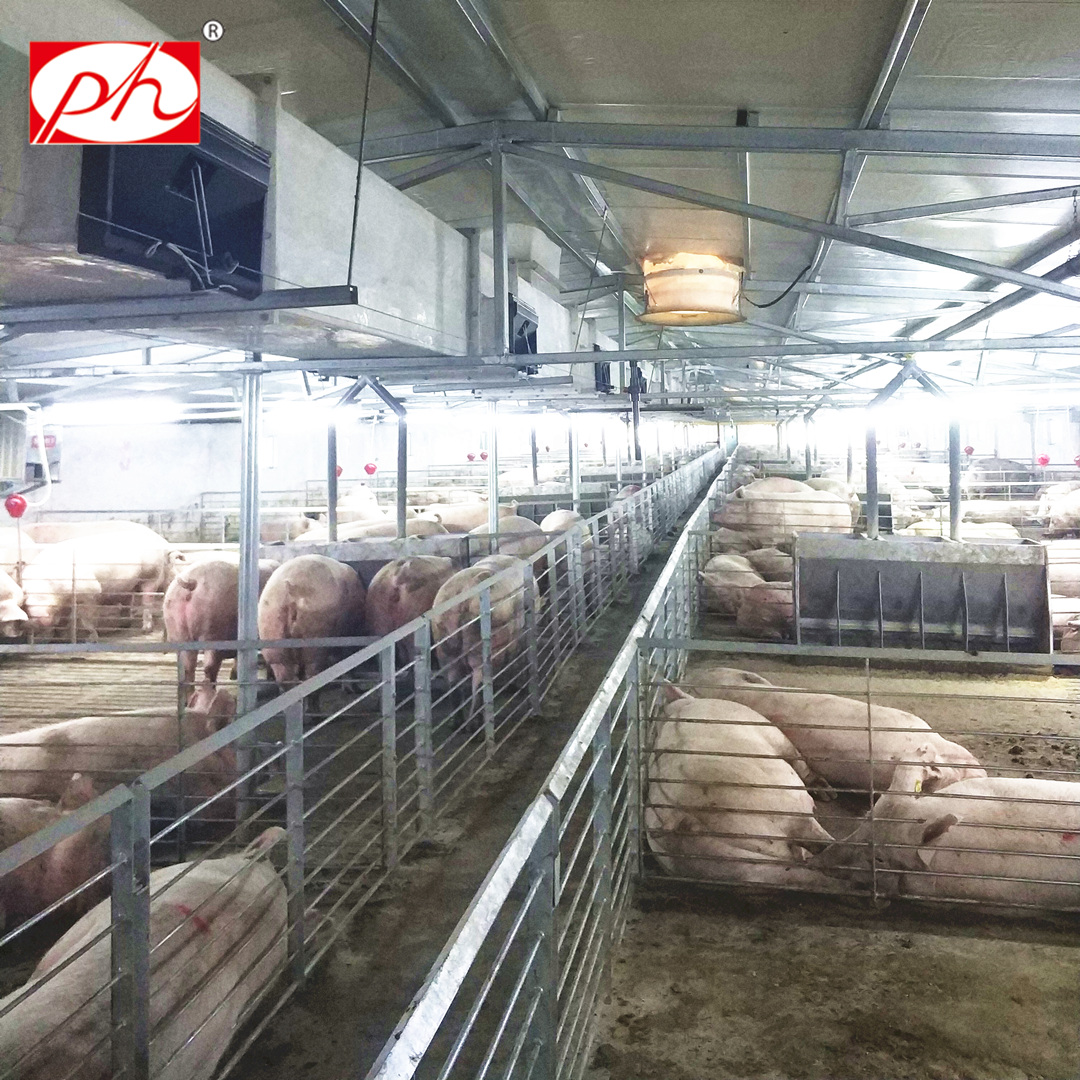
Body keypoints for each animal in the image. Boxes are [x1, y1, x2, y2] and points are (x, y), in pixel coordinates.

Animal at [21, 531, 182, 639]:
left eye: (39, 596)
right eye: (26, 600)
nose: (35, 616)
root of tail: (162, 543)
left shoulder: (90, 591)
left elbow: (87, 618)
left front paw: (92, 637)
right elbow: (64, 618)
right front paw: (59, 635)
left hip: (150, 576)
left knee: (146, 601)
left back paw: (145, 629)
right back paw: (123, 625)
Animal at [431, 555, 532, 725]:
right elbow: (517, 660)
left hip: (444, 645)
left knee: (453, 682)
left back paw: (458, 723)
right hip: (480, 646)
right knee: (479, 683)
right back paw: (474, 723)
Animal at [646, 688, 838, 890]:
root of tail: (681, 817)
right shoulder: (770, 730)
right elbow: (796, 756)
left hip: (730, 864)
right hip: (782, 805)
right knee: (813, 837)